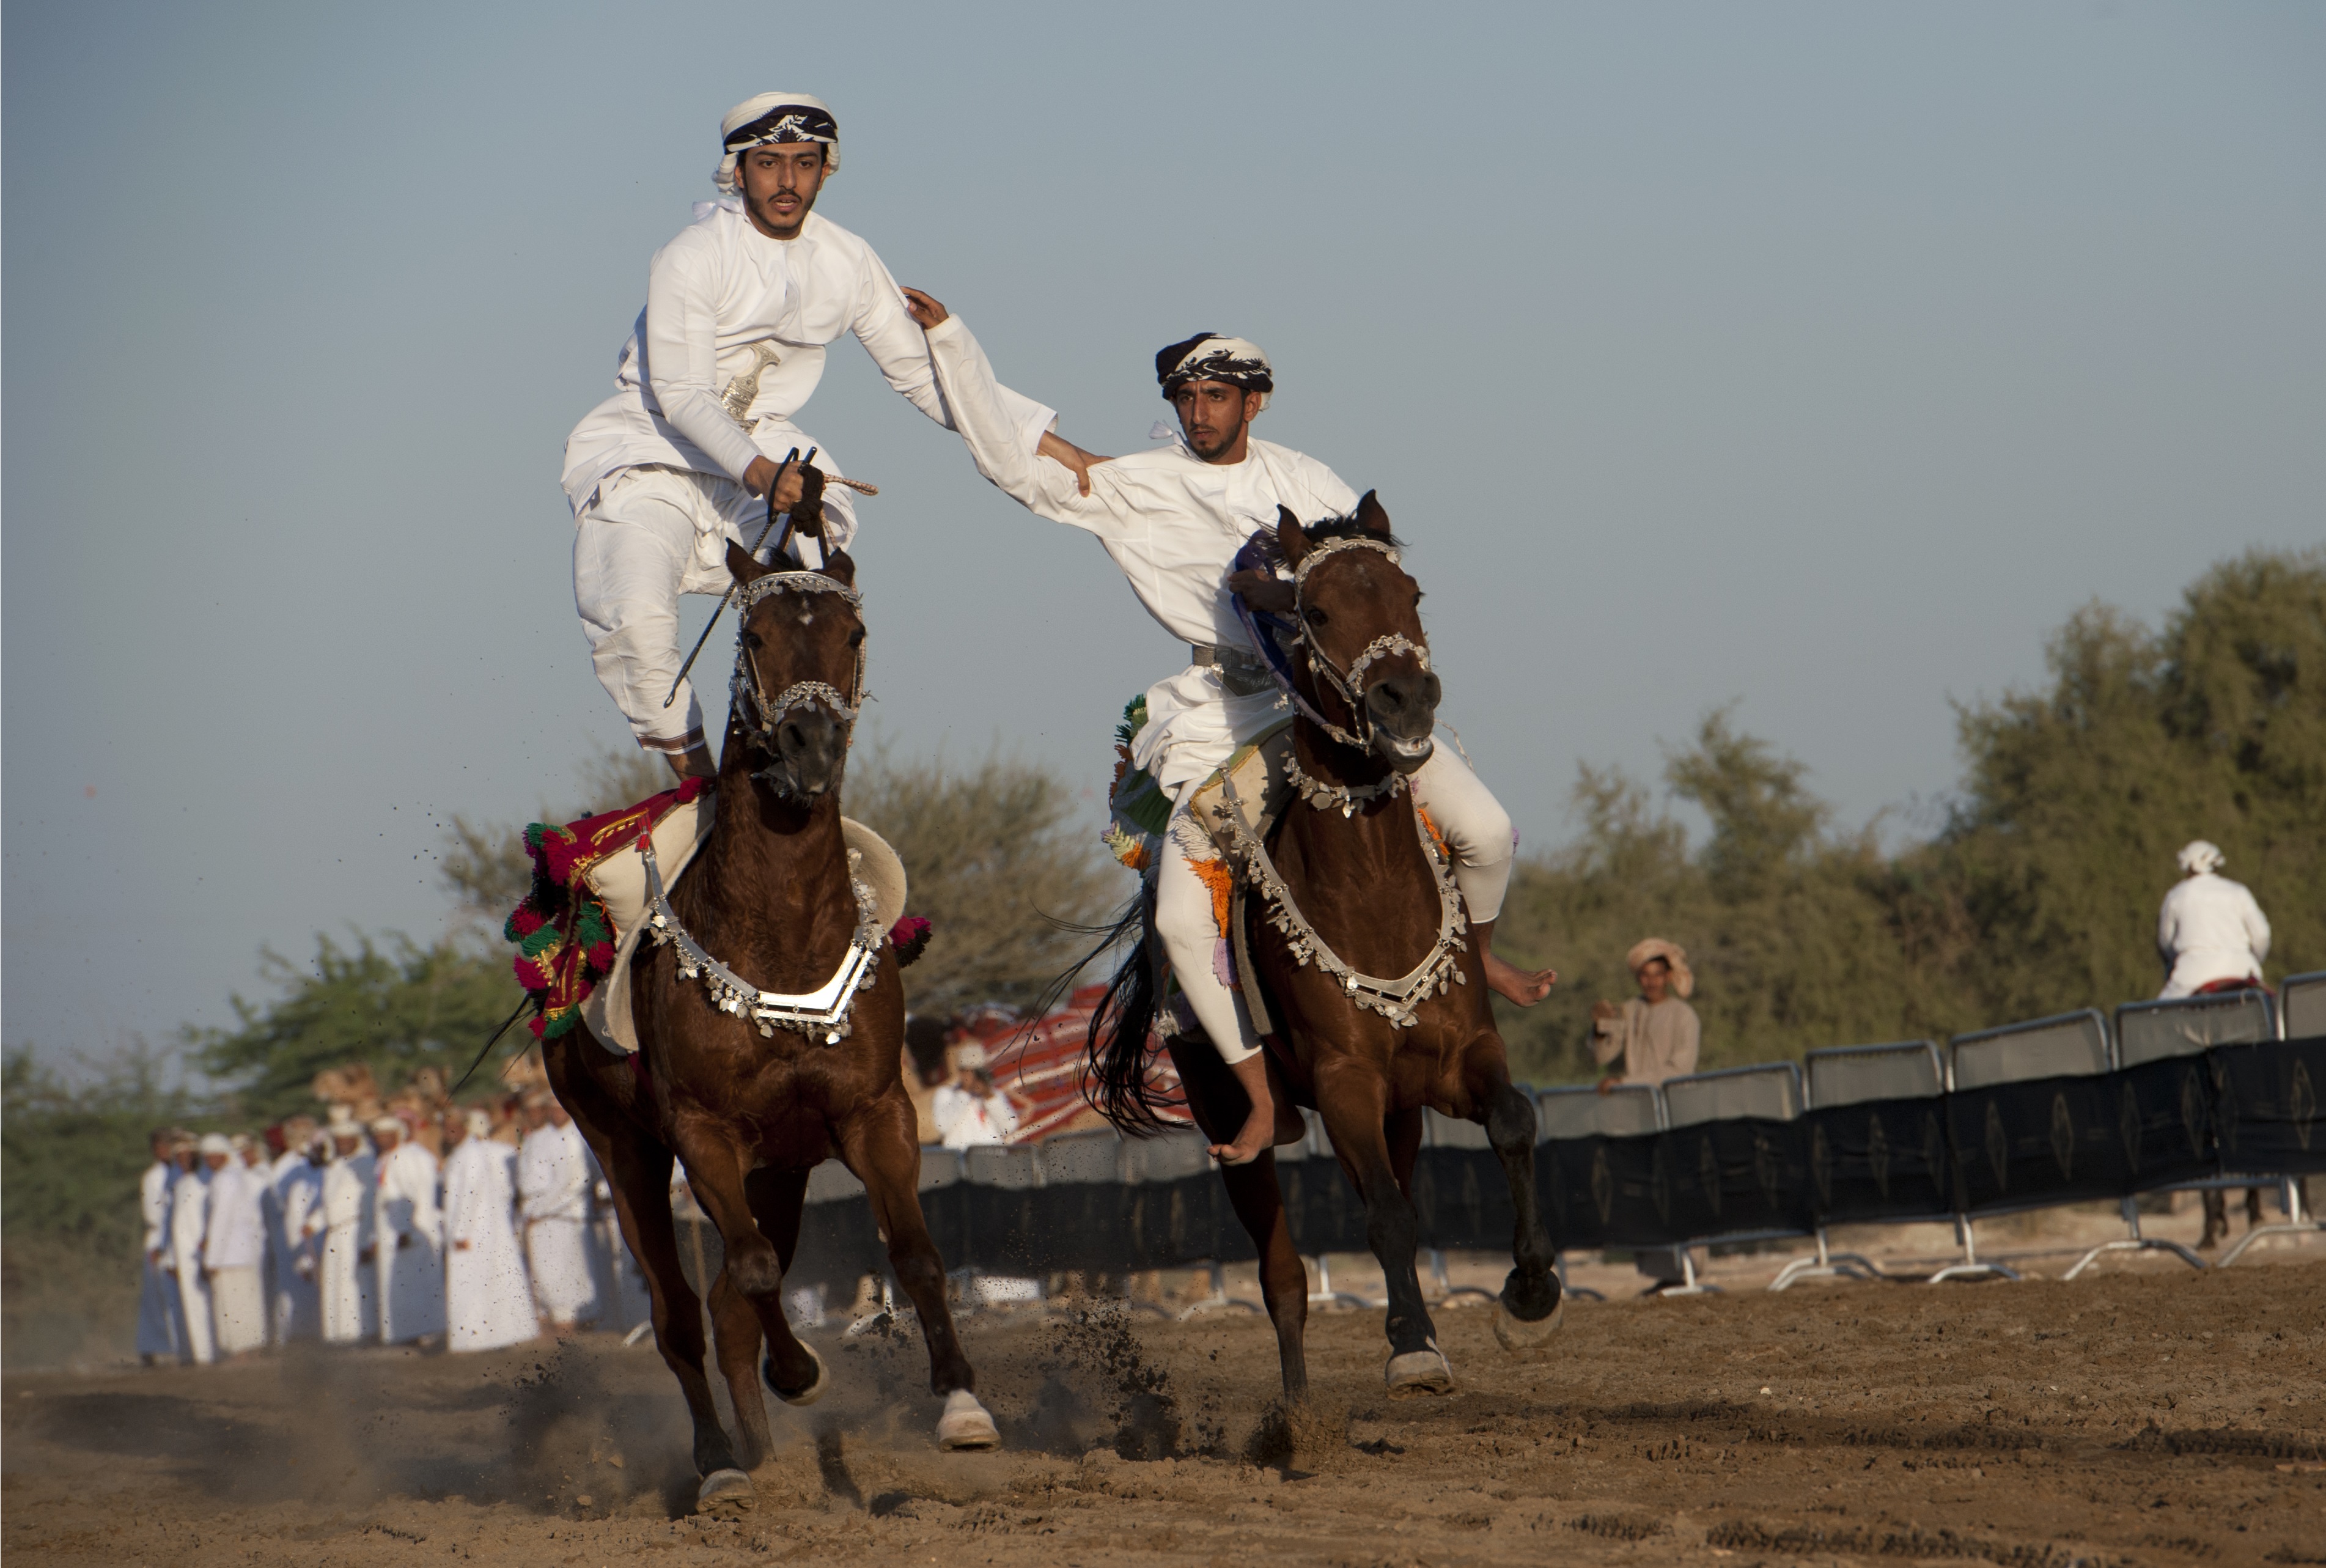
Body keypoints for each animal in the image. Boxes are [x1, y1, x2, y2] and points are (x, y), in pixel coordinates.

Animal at [544, 490, 1000, 1517]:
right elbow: (747, 1272)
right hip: (621, 1146)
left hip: (782, 1161)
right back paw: (721, 1458)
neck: (782, 934)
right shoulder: (702, 1127)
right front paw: (801, 1378)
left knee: (728, 1297)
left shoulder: (870, 1109)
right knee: (682, 1309)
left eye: (853, 632)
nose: (811, 746)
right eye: (752, 636)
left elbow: (913, 1250)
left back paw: (752, 1447)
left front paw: (962, 1405)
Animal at [1088, 495, 1562, 1396]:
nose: (1404, 700)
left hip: (1401, 1103)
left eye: (1412, 593)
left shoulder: (1459, 1056)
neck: (1372, 892)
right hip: (1234, 1118)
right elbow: (1381, 1212)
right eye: (1313, 611)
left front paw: (1530, 1289)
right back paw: (1299, 1402)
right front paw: (1411, 1344)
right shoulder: (1344, 1082)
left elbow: (1511, 1124)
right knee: (1281, 1273)